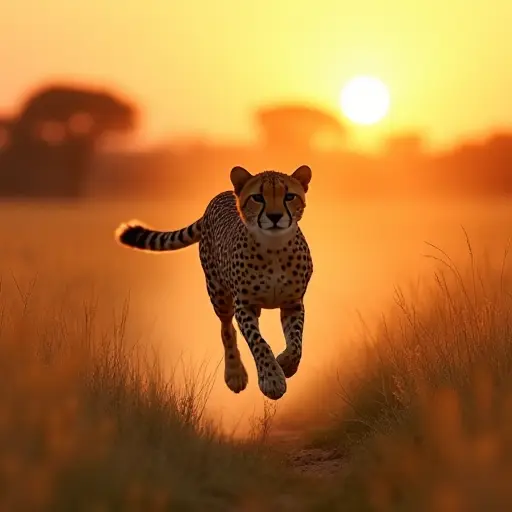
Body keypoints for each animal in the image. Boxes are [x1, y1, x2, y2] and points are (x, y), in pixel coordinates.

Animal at [116, 165, 314, 400]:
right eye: (257, 197)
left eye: (289, 196)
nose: (275, 216)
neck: (273, 246)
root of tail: (223, 194)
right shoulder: (244, 305)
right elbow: (259, 343)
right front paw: (272, 379)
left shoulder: (293, 303)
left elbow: (296, 343)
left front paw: (285, 363)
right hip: (218, 294)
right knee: (226, 329)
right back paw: (234, 374)